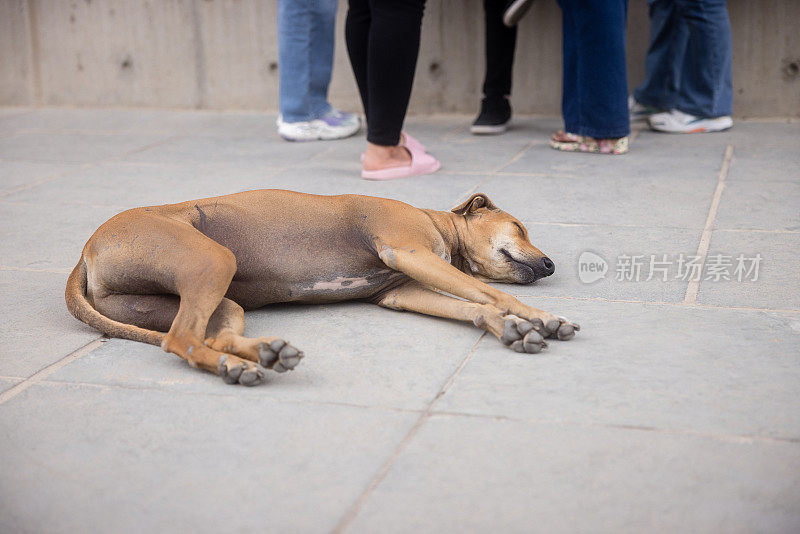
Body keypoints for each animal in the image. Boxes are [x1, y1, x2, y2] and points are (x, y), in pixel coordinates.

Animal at [65, 191, 580, 388]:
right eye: (519, 228)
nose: (550, 264)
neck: (438, 226)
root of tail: (86, 250)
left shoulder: (403, 292)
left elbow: (476, 306)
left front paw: (511, 328)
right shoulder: (409, 252)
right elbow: (494, 294)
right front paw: (538, 317)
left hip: (215, 296)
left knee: (208, 336)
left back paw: (258, 355)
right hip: (213, 261)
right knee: (180, 339)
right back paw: (243, 365)